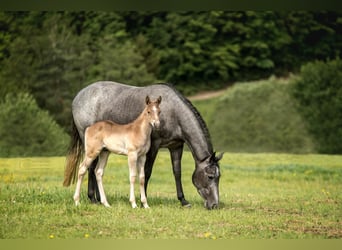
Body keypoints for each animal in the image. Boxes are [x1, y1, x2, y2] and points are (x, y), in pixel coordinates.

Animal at [63, 81, 224, 209]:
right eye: (210, 176)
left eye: (219, 177)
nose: (214, 205)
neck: (173, 113)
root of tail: (77, 97)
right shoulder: (153, 147)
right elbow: (147, 172)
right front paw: (142, 201)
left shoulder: (176, 146)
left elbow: (177, 172)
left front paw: (183, 201)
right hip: (91, 146)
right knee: (89, 168)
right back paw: (93, 199)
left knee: (95, 170)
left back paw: (98, 199)